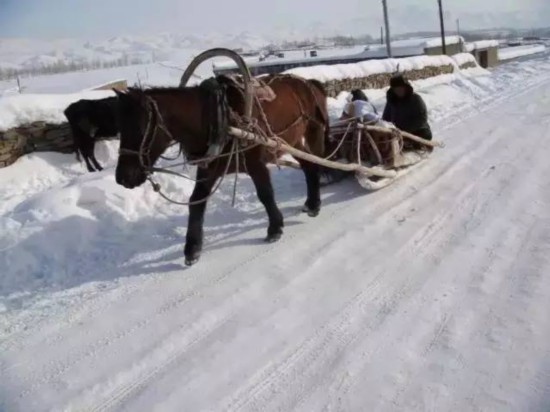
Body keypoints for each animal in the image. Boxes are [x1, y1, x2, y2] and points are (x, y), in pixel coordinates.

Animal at [114, 74, 330, 266]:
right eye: (120, 129)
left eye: (141, 129)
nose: (123, 178)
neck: (220, 121)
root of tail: (309, 82)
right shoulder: (208, 169)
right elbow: (196, 202)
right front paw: (192, 248)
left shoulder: (256, 164)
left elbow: (265, 194)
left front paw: (275, 228)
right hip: (291, 142)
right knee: (309, 166)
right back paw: (312, 203)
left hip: (314, 132)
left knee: (318, 163)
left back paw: (315, 202)